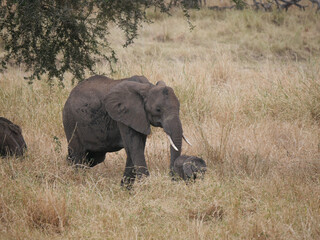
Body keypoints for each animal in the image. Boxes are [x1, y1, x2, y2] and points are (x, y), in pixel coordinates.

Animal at [62, 75, 190, 184]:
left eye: (179, 107)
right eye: (158, 110)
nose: (173, 178)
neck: (148, 87)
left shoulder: (139, 118)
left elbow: (134, 149)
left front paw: (125, 189)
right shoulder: (123, 115)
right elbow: (135, 148)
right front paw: (146, 185)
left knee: (93, 158)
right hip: (71, 121)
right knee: (78, 155)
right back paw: (78, 179)